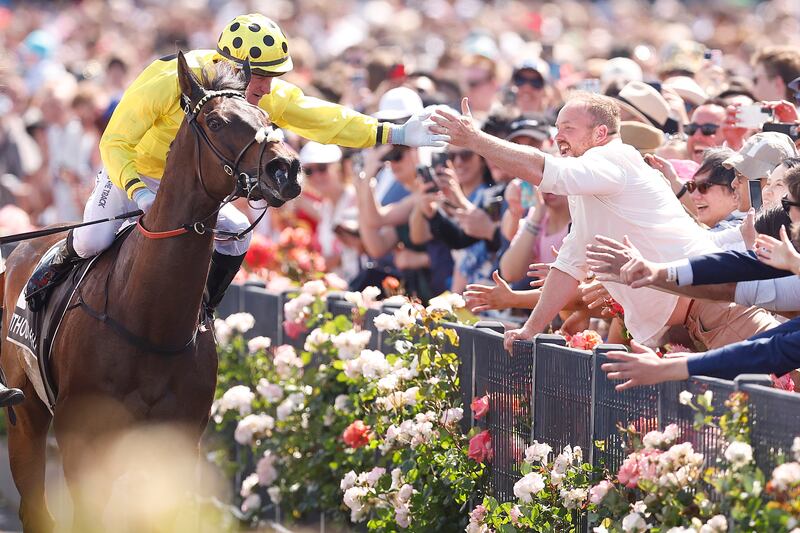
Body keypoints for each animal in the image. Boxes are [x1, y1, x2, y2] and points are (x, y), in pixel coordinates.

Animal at [0, 51, 300, 532]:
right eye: (216, 122)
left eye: (266, 117)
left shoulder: (173, 447)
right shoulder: (81, 442)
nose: (285, 169)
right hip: (25, 413)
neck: (148, 320)